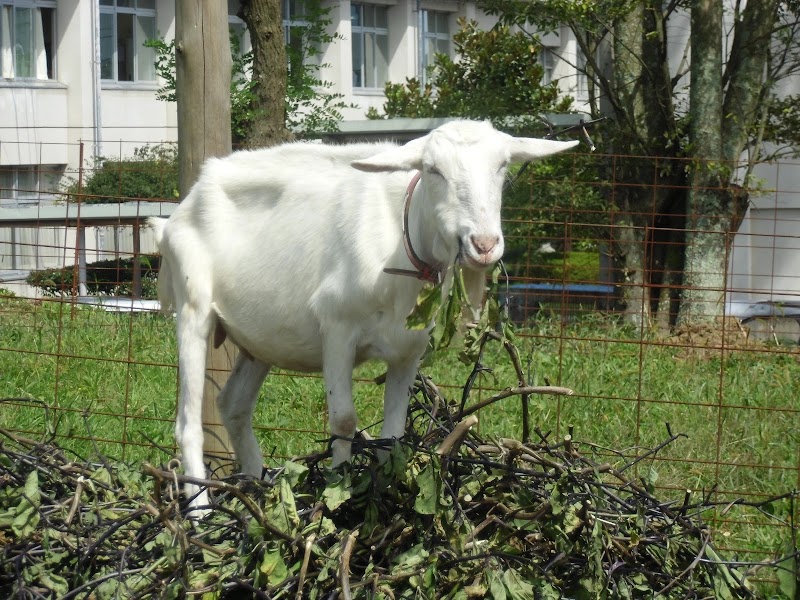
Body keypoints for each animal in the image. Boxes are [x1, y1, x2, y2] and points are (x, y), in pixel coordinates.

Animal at [148, 120, 576, 510]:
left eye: (502, 165)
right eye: (433, 169)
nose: (484, 244)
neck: (400, 237)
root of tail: (178, 213)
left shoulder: (409, 350)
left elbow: (394, 433)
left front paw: (383, 495)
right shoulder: (337, 328)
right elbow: (343, 420)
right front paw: (337, 490)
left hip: (257, 344)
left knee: (234, 406)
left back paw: (258, 492)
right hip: (192, 308)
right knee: (188, 423)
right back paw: (201, 513)